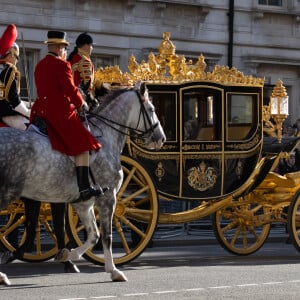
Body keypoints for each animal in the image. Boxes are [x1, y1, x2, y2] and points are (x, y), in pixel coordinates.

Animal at [0, 82, 165, 286]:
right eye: (151, 109)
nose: (161, 138)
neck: (104, 138)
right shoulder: (107, 198)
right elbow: (106, 235)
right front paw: (113, 270)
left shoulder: (83, 203)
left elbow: (94, 235)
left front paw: (68, 255)